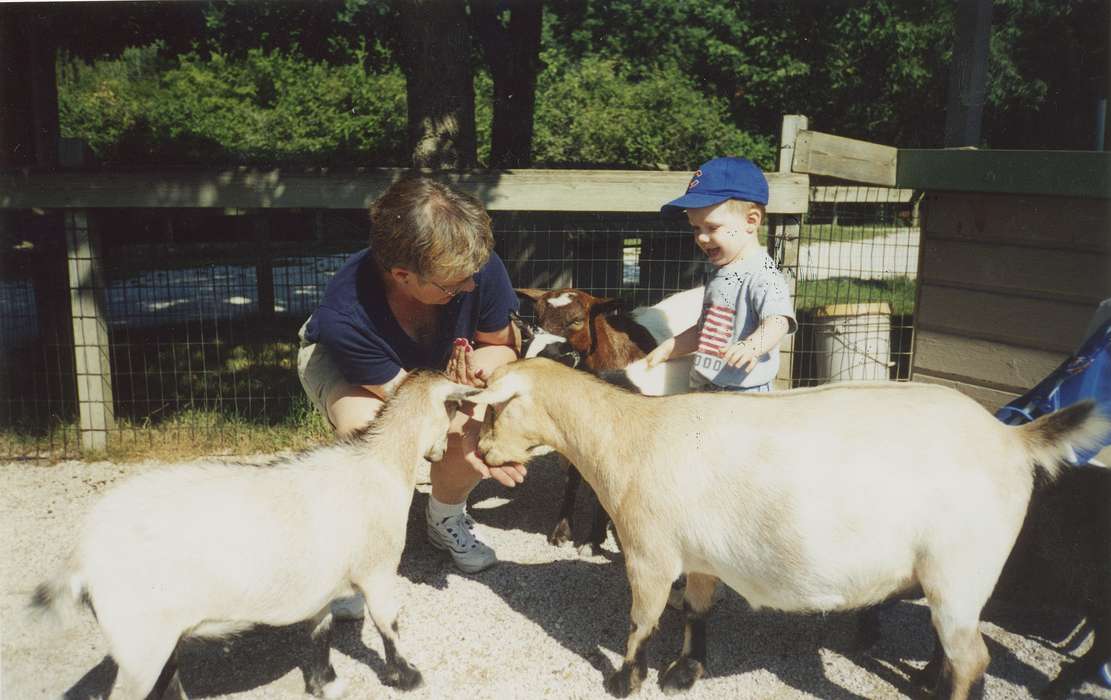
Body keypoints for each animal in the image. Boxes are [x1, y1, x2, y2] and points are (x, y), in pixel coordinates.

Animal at [31, 373, 477, 700]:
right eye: (454, 410)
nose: (440, 453)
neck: (381, 463)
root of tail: (80, 558)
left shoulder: (321, 586)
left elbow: (321, 629)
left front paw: (325, 684)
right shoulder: (378, 569)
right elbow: (389, 623)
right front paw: (409, 677)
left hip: (154, 633)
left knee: (168, 678)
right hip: (138, 639)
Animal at [471, 360, 1111, 700]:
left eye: (496, 407)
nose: (482, 451)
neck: (625, 436)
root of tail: (1012, 439)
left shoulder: (651, 553)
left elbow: (640, 622)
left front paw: (627, 680)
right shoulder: (699, 557)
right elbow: (696, 611)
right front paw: (686, 672)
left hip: (962, 566)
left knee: (973, 658)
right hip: (948, 575)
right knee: (952, 647)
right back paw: (926, 682)